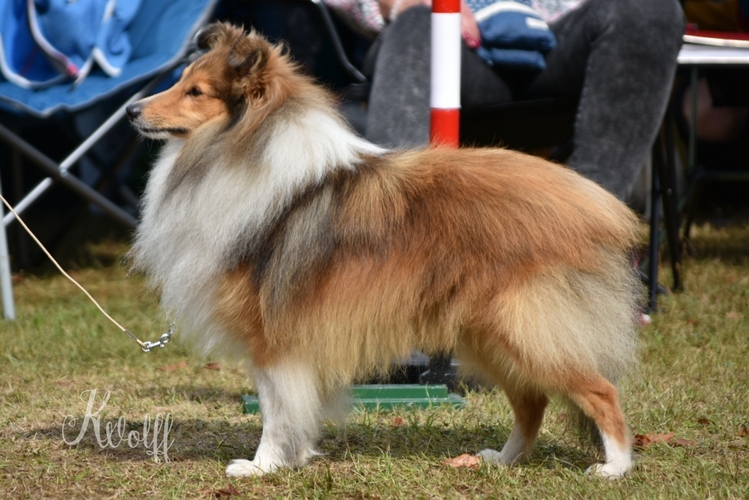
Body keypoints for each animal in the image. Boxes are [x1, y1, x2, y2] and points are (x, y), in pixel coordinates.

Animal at [125, 22, 640, 476]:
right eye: (182, 81)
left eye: (196, 91)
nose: (131, 111)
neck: (242, 146)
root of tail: (598, 206)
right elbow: (293, 407)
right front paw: (294, 459)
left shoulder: (271, 335)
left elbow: (276, 410)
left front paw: (262, 466)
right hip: (490, 334)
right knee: (533, 401)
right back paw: (504, 460)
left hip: (525, 328)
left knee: (601, 391)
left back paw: (614, 468)